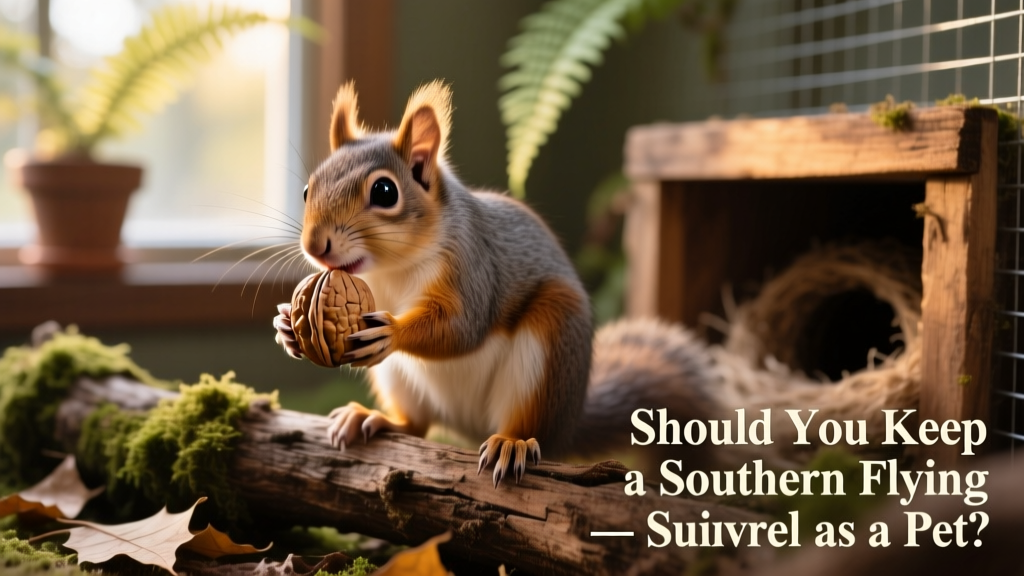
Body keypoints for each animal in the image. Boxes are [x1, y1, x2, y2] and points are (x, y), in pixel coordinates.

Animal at [273, 80, 717, 485]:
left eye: (385, 191)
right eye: (308, 188)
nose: (315, 245)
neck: (390, 269)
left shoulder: (472, 267)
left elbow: (462, 327)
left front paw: (394, 332)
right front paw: (286, 327)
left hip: (549, 346)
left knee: (528, 426)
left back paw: (511, 443)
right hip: (397, 379)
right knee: (416, 424)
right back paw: (374, 418)